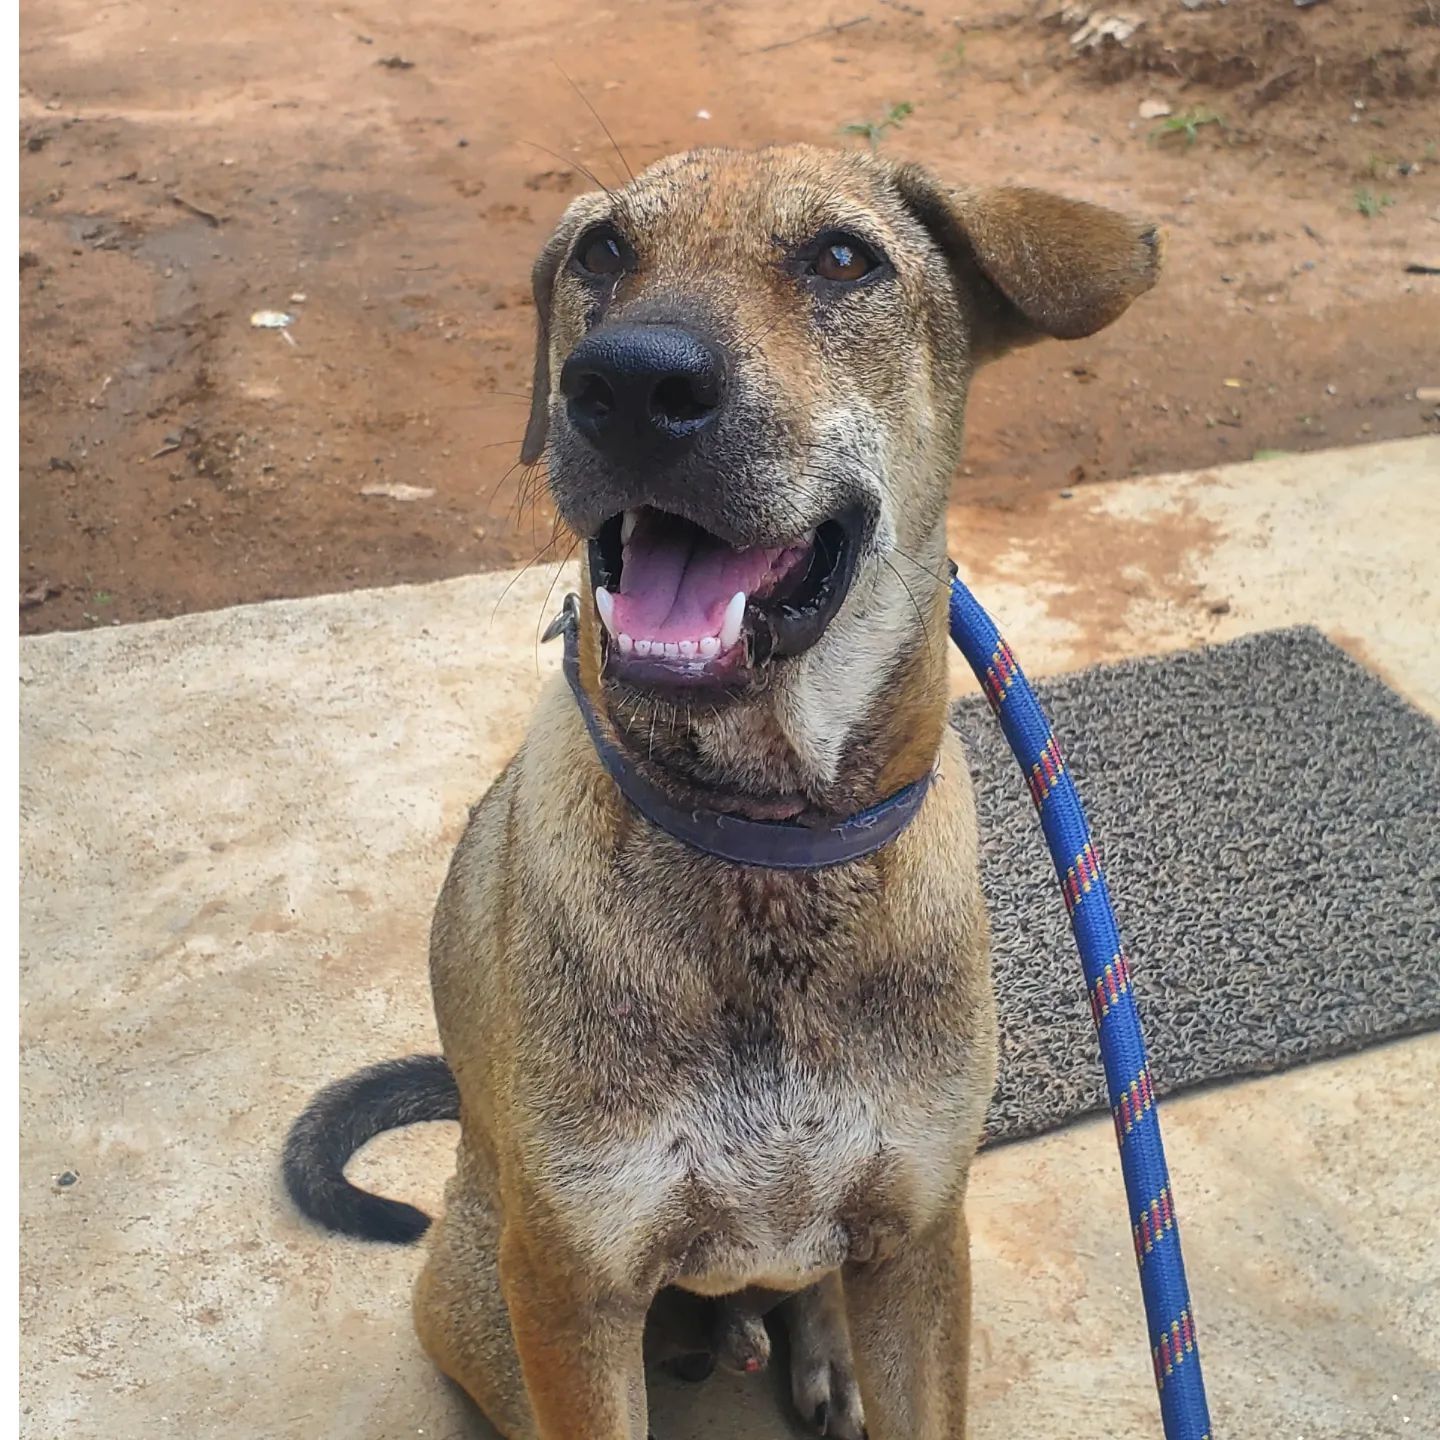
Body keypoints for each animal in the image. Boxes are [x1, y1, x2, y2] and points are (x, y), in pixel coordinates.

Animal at [283, 146, 1157, 1440]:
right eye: (602, 251)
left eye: (843, 258)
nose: (628, 384)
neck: (764, 849)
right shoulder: (572, 1287)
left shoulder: (920, 1240)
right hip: (480, 1285)